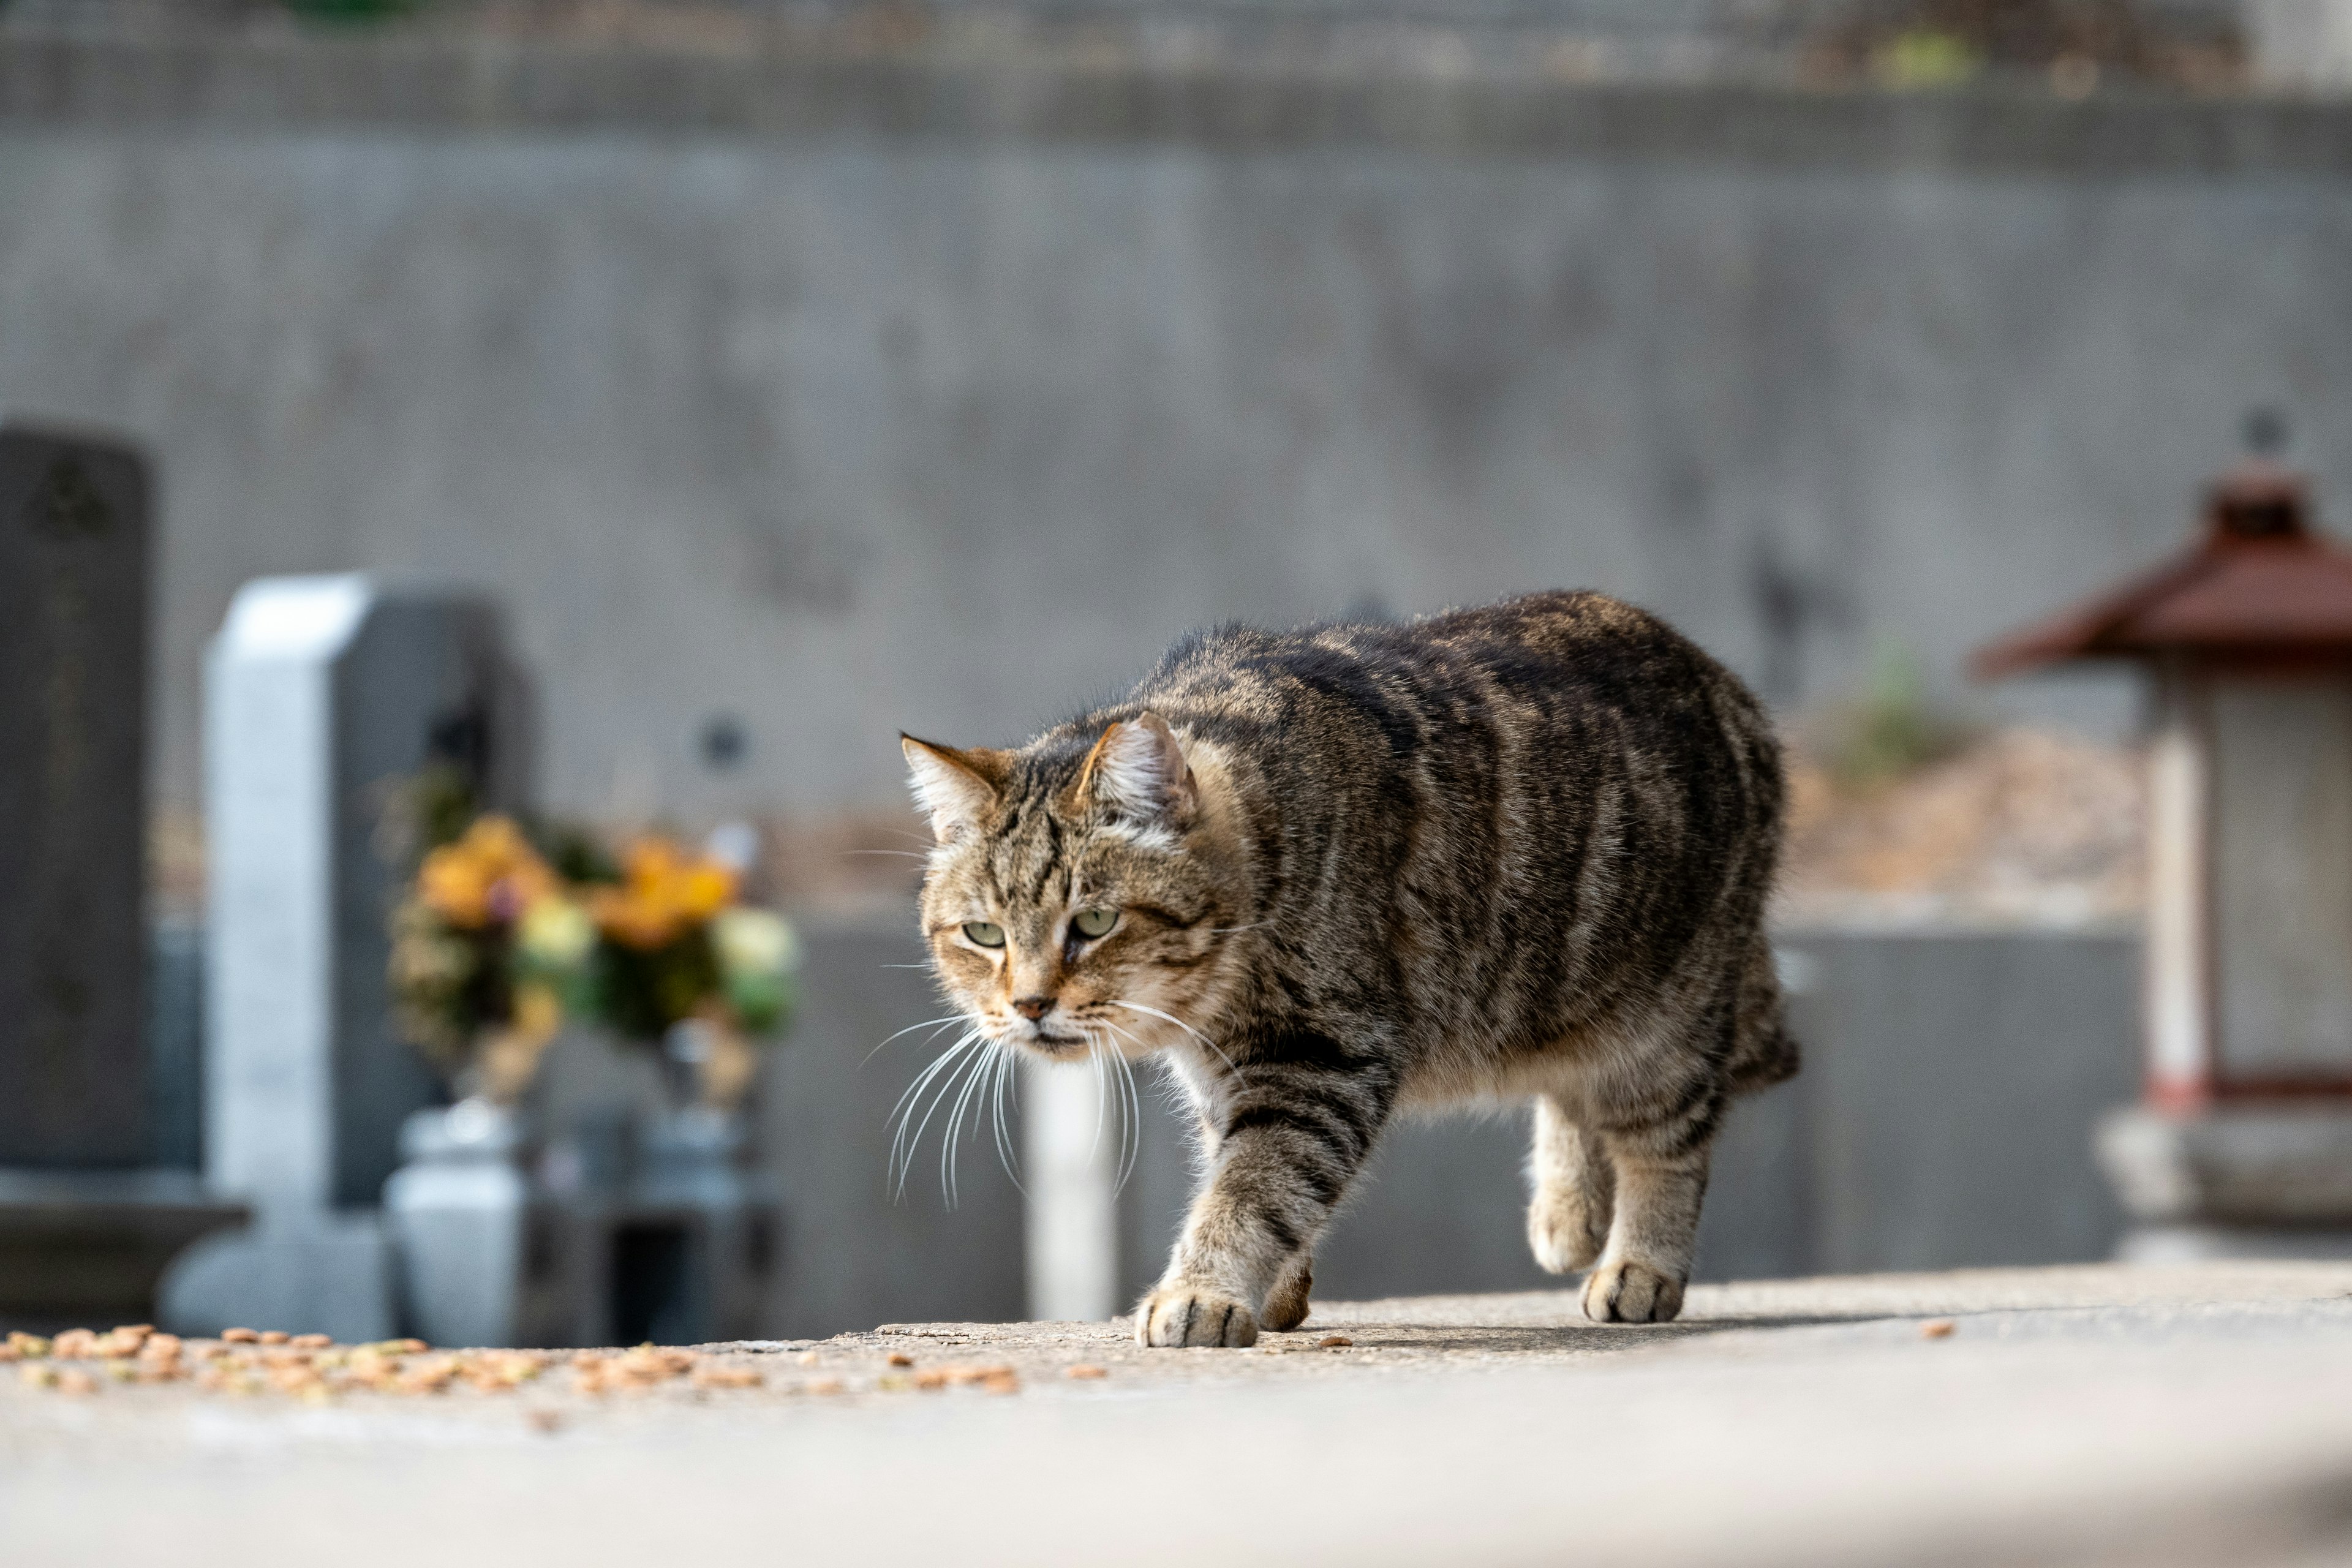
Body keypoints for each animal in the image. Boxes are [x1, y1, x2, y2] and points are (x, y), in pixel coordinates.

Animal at [903, 587, 1796, 1354]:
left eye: (1093, 922)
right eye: (983, 934)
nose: (1029, 1004)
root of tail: (1728, 686)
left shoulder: (1321, 1057)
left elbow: (1254, 1188)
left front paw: (1204, 1291)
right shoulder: (1232, 1075)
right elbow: (1248, 1172)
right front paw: (1274, 1292)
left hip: (1668, 1017)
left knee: (1668, 1142)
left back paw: (1640, 1265)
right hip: (1563, 989)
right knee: (1573, 1083)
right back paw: (1567, 1213)